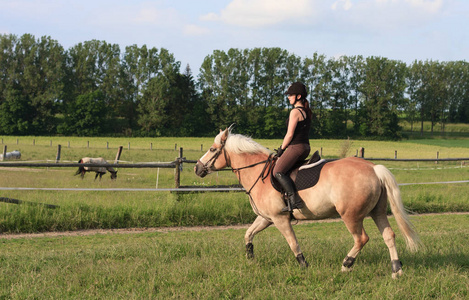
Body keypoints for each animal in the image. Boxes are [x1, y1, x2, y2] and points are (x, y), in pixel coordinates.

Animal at [194, 126, 420, 278]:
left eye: (213, 150)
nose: (197, 168)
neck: (259, 173)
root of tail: (373, 168)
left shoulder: (279, 219)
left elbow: (293, 243)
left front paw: (304, 266)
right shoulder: (266, 218)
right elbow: (248, 234)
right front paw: (250, 258)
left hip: (351, 216)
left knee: (361, 239)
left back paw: (346, 265)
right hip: (377, 212)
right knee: (389, 236)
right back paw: (396, 270)